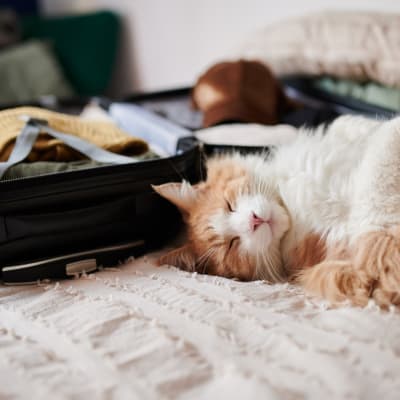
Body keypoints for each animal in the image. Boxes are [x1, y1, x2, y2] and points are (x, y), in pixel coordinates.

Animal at [154, 115, 400, 306]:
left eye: (229, 205)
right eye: (232, 244)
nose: (254, 220)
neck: (290, 206)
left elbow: (357, 127)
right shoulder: (358, 257)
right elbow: (378, 175)